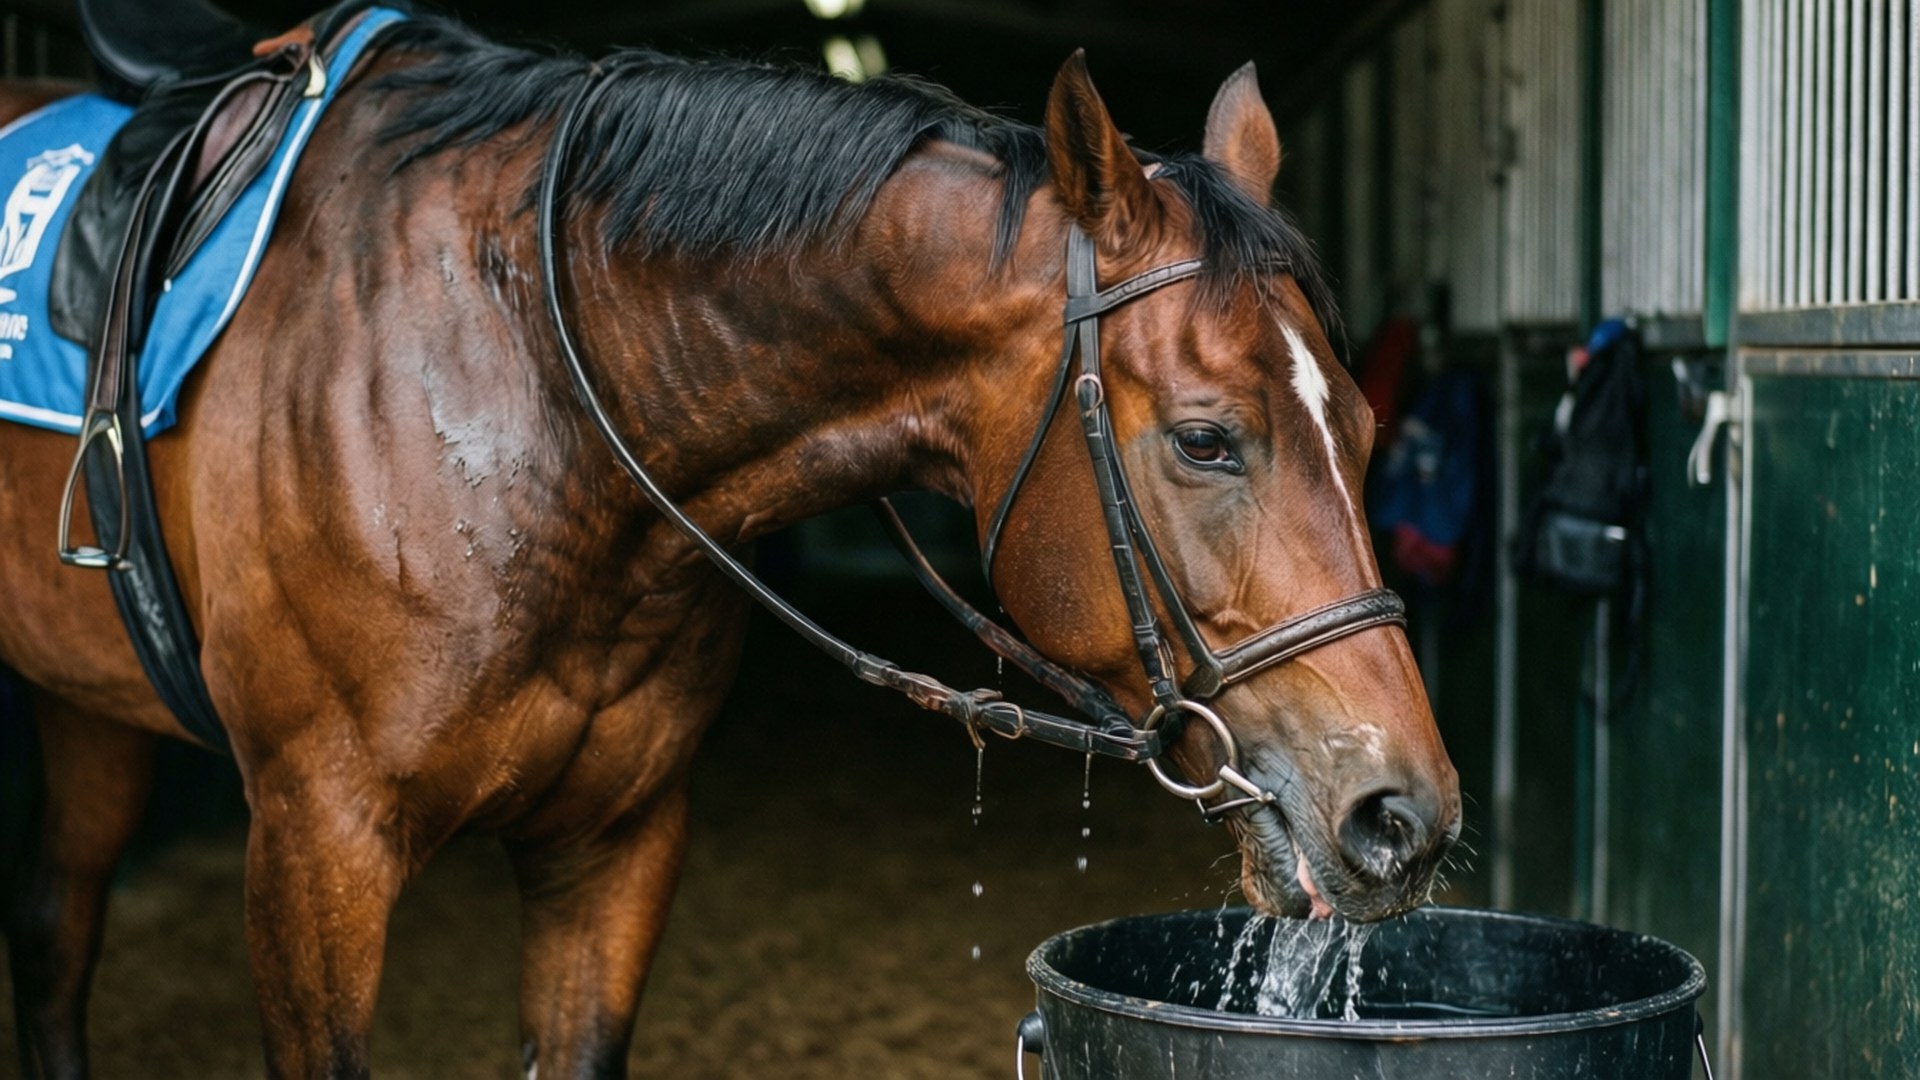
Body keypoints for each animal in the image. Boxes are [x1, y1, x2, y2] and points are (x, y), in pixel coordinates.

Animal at [0, 11, 1460, 1078]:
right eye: (1208, 440)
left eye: (1367, 424)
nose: (1407, 816)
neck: (523, 369)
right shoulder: (318, 849)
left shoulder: (617, 842)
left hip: (90, 710)